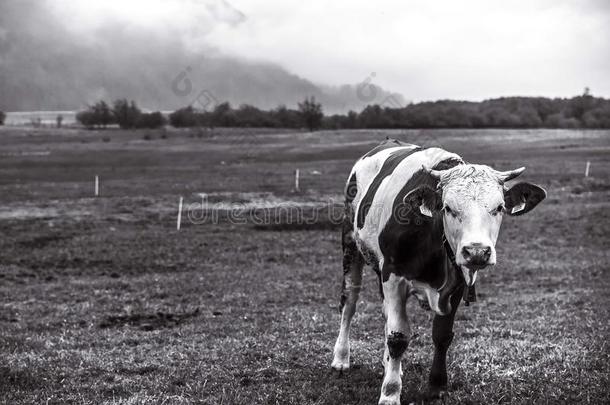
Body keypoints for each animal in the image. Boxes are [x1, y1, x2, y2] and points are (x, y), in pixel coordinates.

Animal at [330, 137, 544, 402]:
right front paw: (390, 393)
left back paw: (388, 363)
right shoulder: (393, 275)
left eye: (499, 207)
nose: (476, 252)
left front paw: (436, 385)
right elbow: (398, 336)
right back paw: (341, 359)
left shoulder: (458, 282)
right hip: (350, 244)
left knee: (385, 313)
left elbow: (441, 335)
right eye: (448, 208)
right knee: (349, 302)